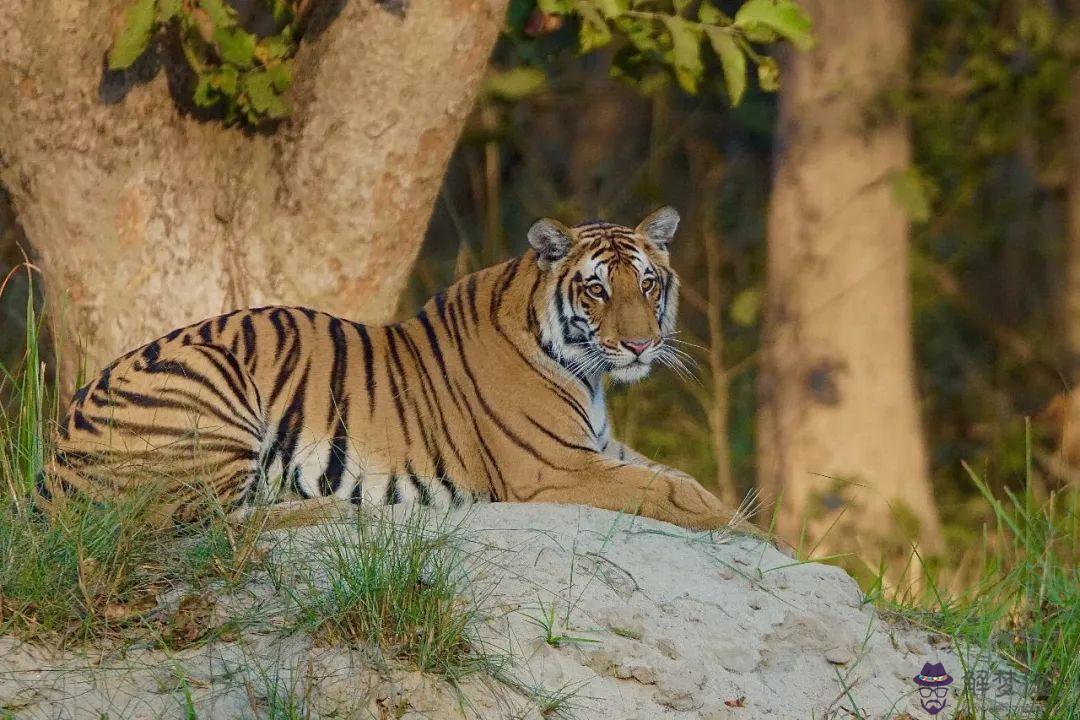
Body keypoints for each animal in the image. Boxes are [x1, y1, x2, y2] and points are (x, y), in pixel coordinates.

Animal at [35, 205, 743, 533]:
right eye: (597, 290)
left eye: (648, 284)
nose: (641, 345)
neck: (587, 373)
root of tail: (49, 460)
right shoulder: (555, 467)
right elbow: (675, 492)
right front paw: (745, 527)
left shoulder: (600, 447)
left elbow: (676, 476)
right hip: (214, 378)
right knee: (198, 523)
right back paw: (332, 509)